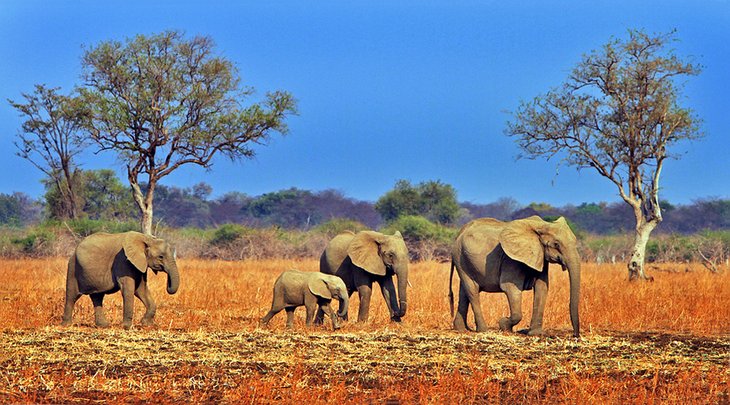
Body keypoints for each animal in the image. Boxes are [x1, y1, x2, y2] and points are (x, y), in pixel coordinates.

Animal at [446, 216, 576, 336]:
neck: (541, 225)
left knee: (464, 291)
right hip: (460, 258)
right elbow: (510, 288)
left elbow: (542, 287)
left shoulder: (540, 256)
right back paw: (483, 330)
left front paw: (536, 333)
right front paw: (503, 325)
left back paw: (462, 329)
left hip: (464, 259)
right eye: (556, 244)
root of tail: (459, 233)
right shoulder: (510, 260)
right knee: (472, 290)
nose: (575, 334)